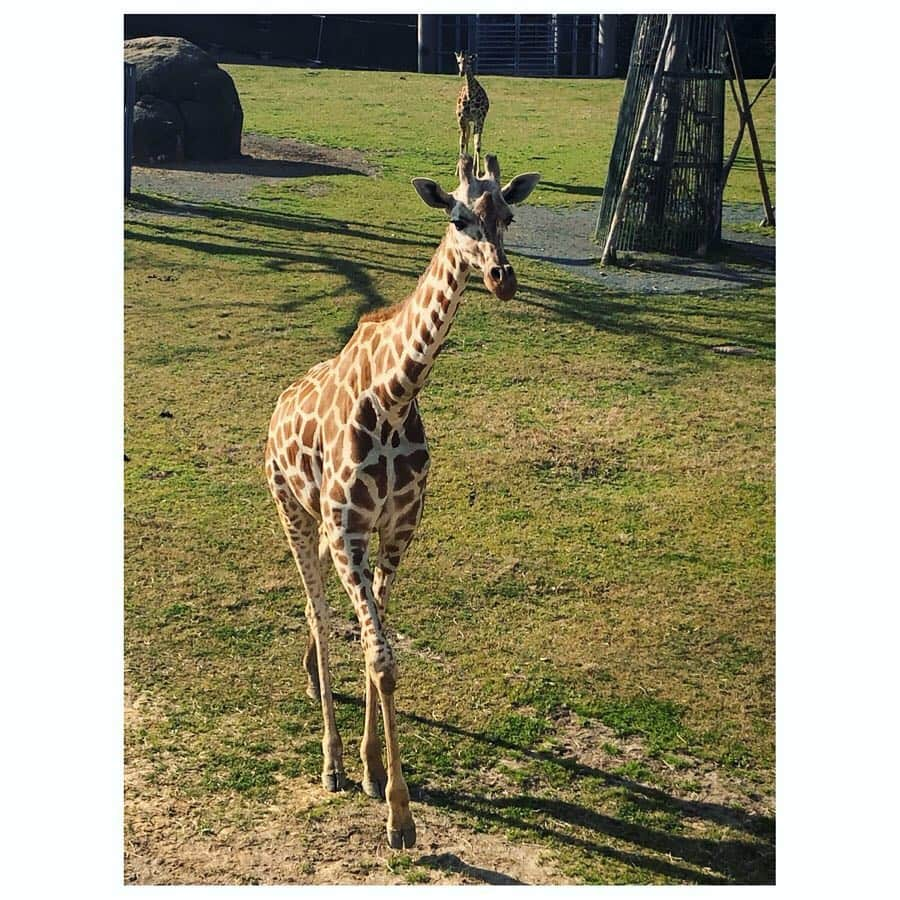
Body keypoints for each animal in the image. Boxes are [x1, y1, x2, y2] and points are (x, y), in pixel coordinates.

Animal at [264, 155, 536, 852]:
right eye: (458, 215)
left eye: (508, 214)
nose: (501, 279)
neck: (393, 395)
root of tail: (277, 408)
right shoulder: (348, 534)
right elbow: (380, 657)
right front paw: (397, 812)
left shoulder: (396, 533)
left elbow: (378, 648)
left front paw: (374, 769)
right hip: (292, 511)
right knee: (319, 614)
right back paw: (329, 759)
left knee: (325, 613)